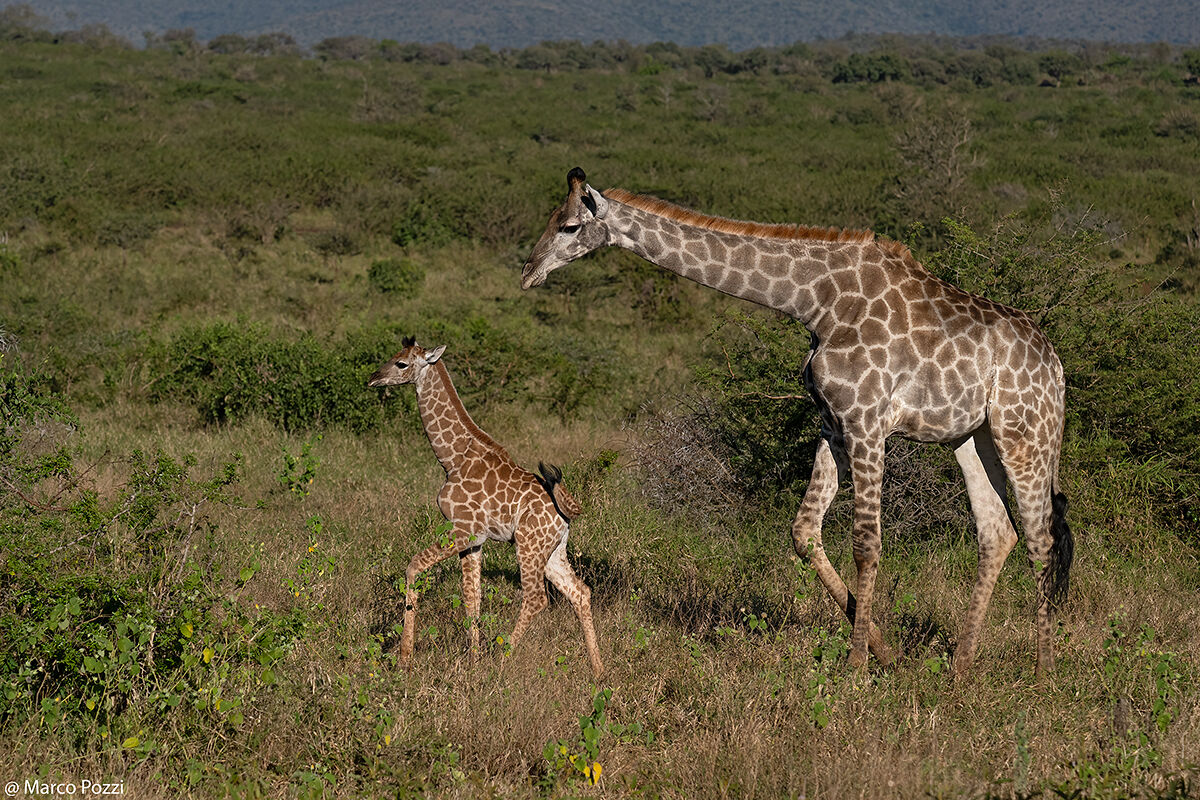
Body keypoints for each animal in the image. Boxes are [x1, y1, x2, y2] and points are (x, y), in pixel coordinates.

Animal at [368, 337, 603, 678]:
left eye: (402, 364)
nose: (373, 378)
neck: (451, 458)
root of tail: (566, 511)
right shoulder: (475, 540)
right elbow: (472, 598)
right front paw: (473, 662)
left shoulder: (461, 530)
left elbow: (413, 568)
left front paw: (405, 658)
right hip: (554, 551)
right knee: (580, 592)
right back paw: (599, 669)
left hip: (528, 545)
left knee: (536, 598)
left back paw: (502, 660)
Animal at [521, 168, 1073, 679]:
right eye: (550, 219)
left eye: (570, 226)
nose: (528, 271)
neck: (816, 303)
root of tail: (1056, 364)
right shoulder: (833, 423)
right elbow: (805, 532)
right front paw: (886, 652)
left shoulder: (867, 422)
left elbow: (867, 543)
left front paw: (857, 666)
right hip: (971, 437)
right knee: (998, 532)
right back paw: (961, 665)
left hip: (1025, 433)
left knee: (1042, 537)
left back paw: (1044, 671)